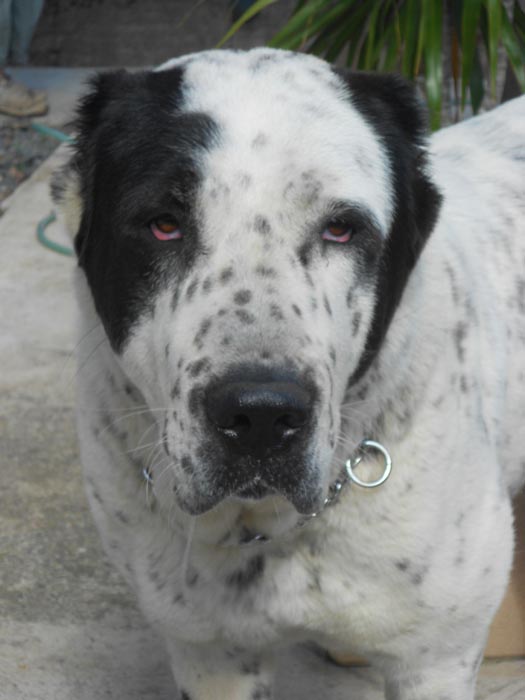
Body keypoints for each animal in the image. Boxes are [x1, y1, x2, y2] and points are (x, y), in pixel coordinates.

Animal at [54, 46, 524, 696]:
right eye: (163, 224)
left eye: (341, 228)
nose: (260, 415)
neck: (269, 530)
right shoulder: (211, 657)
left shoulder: (435, 662)